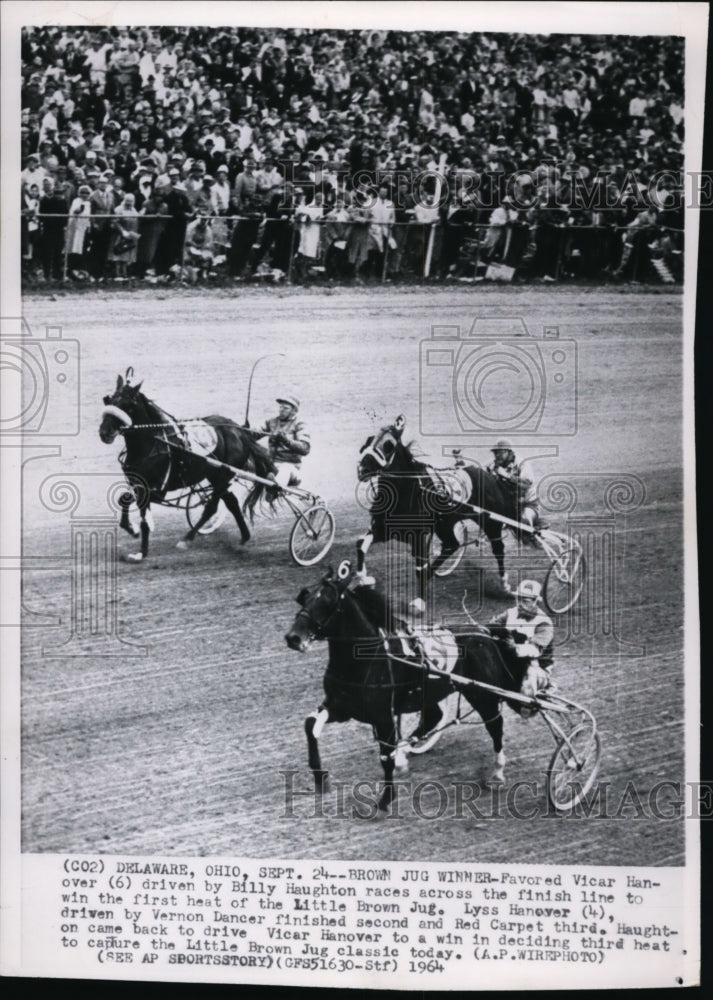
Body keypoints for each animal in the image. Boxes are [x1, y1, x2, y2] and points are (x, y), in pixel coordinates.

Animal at [98, 370, 276, 564]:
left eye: (128, 405)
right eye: (110, 400)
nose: (105, 432)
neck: (154, 443)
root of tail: (239, 430)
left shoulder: (156, 490)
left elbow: (143, 517)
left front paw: (141, 551)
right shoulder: (140, 484)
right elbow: (124, 499)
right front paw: (132, 530)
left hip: (222, 476)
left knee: (211, 507)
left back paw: (187, 538)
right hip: (217, 475)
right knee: (232, 502)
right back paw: (244, 537)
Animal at [282, 564, 528, 812]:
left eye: (328, 602)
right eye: (306, 598)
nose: (293, 637)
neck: (365, 659)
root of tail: (485, 634)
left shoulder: (383, 718)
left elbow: (386, 757)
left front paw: (386, 799)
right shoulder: (341, 706)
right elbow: (310, 725)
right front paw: (320, 777)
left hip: (481, 695)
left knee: (495, 726)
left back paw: (497, 774)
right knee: (434, 716)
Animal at [356, 414, 516, 592]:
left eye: (389, 445)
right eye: (368, 441)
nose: (363, 469)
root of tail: (490, 476)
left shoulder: (418, 536)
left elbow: (420, 566)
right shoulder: (382, 529)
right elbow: (360, 544)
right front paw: (364, 579)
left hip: (490, 522)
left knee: (498, 548)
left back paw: (505, 583)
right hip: (445, 524)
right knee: (451, 544)